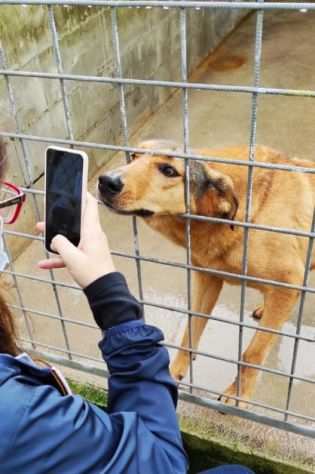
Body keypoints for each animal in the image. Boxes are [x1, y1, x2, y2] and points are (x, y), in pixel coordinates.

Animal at [99, 139, 315, 406]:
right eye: (133, 157)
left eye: (169, 170)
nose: (106, 181)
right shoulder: (207, 278)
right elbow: (189, 332)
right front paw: (174, 372)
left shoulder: (287, 284)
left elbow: (253, 353)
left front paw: (238, 395)